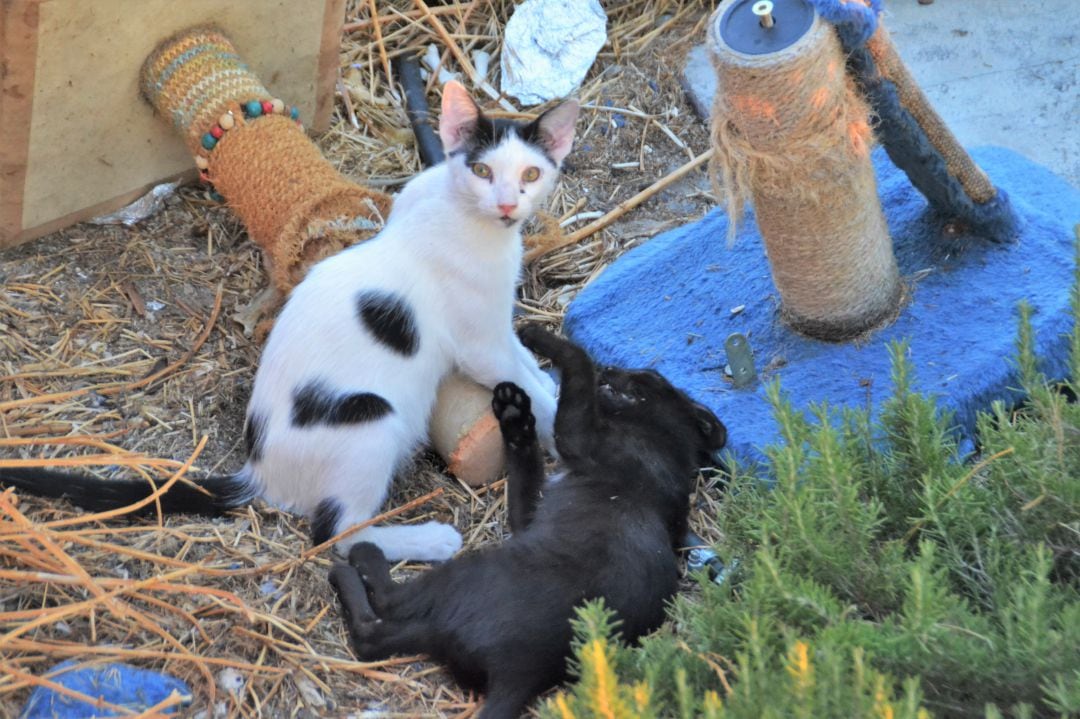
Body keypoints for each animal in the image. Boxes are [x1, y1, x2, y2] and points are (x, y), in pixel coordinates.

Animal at [0, 82, 578, 561]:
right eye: (483, 171)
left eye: (530, 174)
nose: (507, 206)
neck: (459, 211)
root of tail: (258, 472)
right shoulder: (478, 340)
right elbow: (520, 378)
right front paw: (555, 420)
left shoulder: (496, 327)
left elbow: (525, 363)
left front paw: (548, 383)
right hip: (371, 418)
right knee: (337, 535)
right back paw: (430, 541)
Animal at [328, 328, 730, 716]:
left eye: (647, 377)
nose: (612, 367)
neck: (663, 442)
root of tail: (519, 673)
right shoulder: (531, 510)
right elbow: (526, 465)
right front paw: (515, 417)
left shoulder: (581, 437)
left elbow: (577, 369)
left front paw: (539, 338)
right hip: (438, 623)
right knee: (373, 636)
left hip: (465, 573)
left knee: (386, 605)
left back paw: (359, 561)